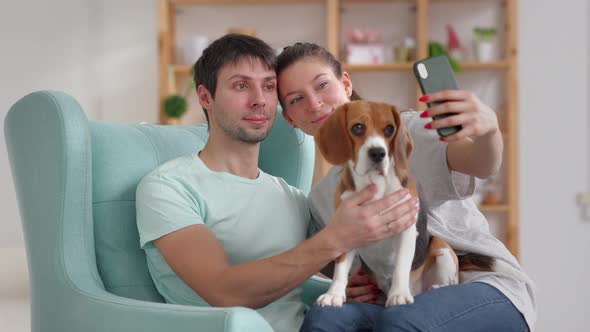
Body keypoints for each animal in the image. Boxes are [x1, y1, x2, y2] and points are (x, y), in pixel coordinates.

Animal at [314, 100, 472, 308]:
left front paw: (398, 294)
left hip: (441, 247)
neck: (374, 185)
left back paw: (434, 288)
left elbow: (401, 265)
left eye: (390, 129)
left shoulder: (406, 229)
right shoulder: (346, 230)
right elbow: (340, 267)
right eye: (358, 127)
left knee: (450, 282)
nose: (378, 153)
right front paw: (334, 294)